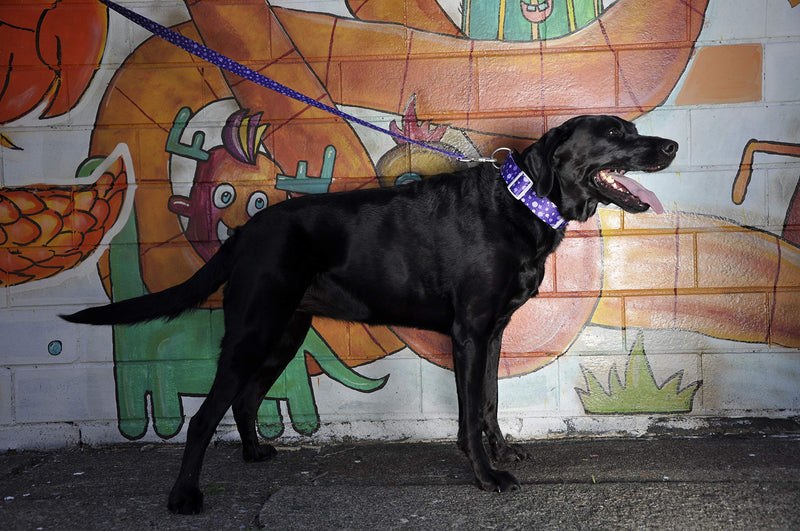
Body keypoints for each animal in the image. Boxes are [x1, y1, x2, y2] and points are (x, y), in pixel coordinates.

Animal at [62, 115, 676, 516]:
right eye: (616, 134)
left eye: (632, 128)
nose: (669, 145)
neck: (524, 200)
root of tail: (246, 230)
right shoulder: (470, 334)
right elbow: (469, 412)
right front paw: (486, 475)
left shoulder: (493, 333)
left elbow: (488, 403)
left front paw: (500, 451)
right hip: (254, 328)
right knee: (204, 415)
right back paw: (184, 497)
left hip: (286, 330)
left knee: (246, 397)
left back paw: (256, 452)